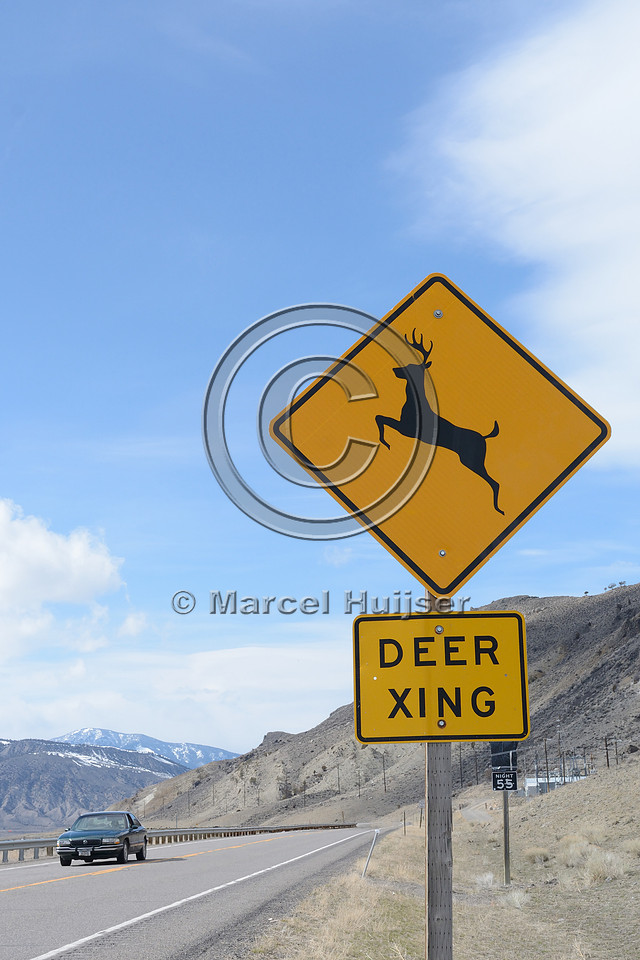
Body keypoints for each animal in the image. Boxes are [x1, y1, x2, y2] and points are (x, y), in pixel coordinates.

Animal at [375, 331, 504, 515]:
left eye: (411, 366)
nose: (395, 369)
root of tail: (485, 438)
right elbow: (379, 417)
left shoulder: (407, 429)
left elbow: (380, 418)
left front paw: (385, 443)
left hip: (472, 459)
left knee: (495, 482)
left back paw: (498, 509)